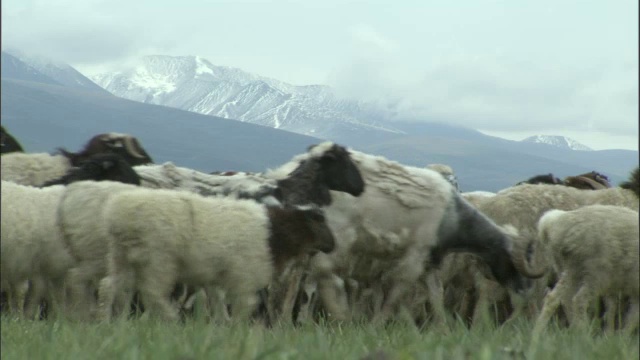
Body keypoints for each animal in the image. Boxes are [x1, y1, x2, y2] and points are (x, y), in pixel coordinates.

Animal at [97, 188, 338, 324]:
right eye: (319, 219)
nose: (333, 245)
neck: (275, 232)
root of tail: (121, 214)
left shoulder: (216, 280)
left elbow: (220, 308)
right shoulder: (244, 279)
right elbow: (245, 306)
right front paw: (236, 333)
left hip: (121, 255)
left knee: (109, 286)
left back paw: (107, 323)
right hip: (159, 260)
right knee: (152, 294)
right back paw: (170, 320)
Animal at [532, 205, 636, 334]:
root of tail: (554, 222)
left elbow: (622, 312)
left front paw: (614, 335)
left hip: (569, 269)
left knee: (557, 298)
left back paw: (538, 334)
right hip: (595, 272)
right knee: (579, 300)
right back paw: (583, 334)